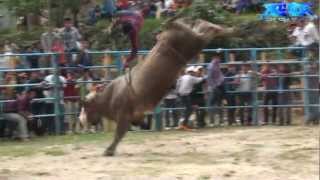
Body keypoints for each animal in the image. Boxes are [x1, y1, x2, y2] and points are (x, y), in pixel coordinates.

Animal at [79, 18, 231, 156]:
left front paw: (109, 150)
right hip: (192, 43)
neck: (110, 95)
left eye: (86, 106)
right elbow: (140, 125)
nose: (83, 122)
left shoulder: (123, 116)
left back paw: (228, 29)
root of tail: (169, 29)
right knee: (201, 26)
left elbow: (119, 133)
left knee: (208, 30)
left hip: (193, 42)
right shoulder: (136, 116)